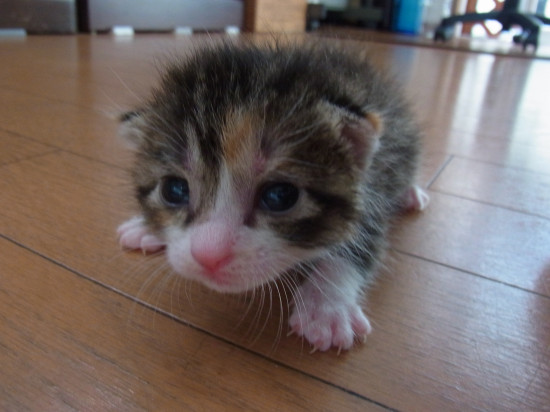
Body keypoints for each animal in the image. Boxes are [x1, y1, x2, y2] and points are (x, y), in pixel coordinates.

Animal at [117, 40, 429, 353]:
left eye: (280, 196)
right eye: (174, 189)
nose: (209, 256)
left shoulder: (375, 182)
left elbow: (362, 238)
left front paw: (326, 305)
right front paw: (145, 226)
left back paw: (412, 193)